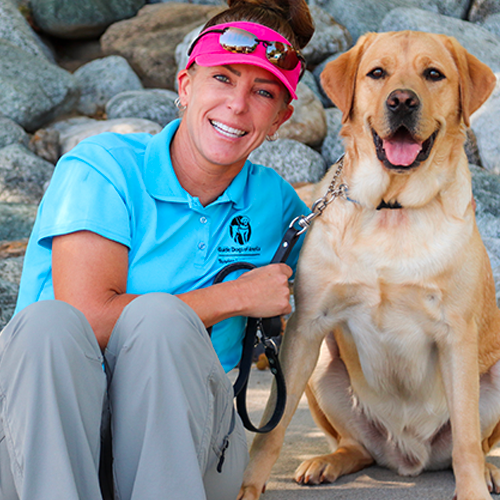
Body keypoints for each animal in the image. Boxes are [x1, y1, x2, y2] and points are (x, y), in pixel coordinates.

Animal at [238, 30, 500, 500]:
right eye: (377, 73)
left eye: (433, 74)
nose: (402, 101)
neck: (391, 206)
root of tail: (407, 460)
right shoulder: (305, 327)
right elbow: (271, 429)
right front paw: (247, 488)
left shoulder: (456, 334)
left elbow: (468, 442)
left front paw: (473, 490)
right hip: (322, 363)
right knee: (355, 446)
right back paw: (328, 461)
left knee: (474, 444)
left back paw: (490, 472)